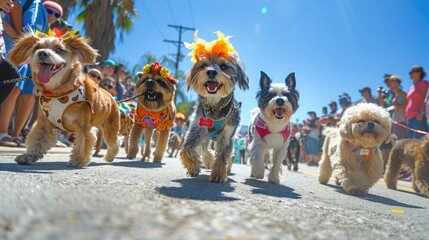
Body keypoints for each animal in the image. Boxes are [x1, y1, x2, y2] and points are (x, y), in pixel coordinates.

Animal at [7, 30, 120, 167]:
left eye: (59, 49)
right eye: (37, 48)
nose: (42, 53)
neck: (58, 93)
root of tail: (111, 96)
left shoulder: (83, 127)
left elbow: (83, 143)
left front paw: (78, 160)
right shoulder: (44, 124)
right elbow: (37, 141)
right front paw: (28, 156)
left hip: (109, 129)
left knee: (115, 142)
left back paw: (109, 157)